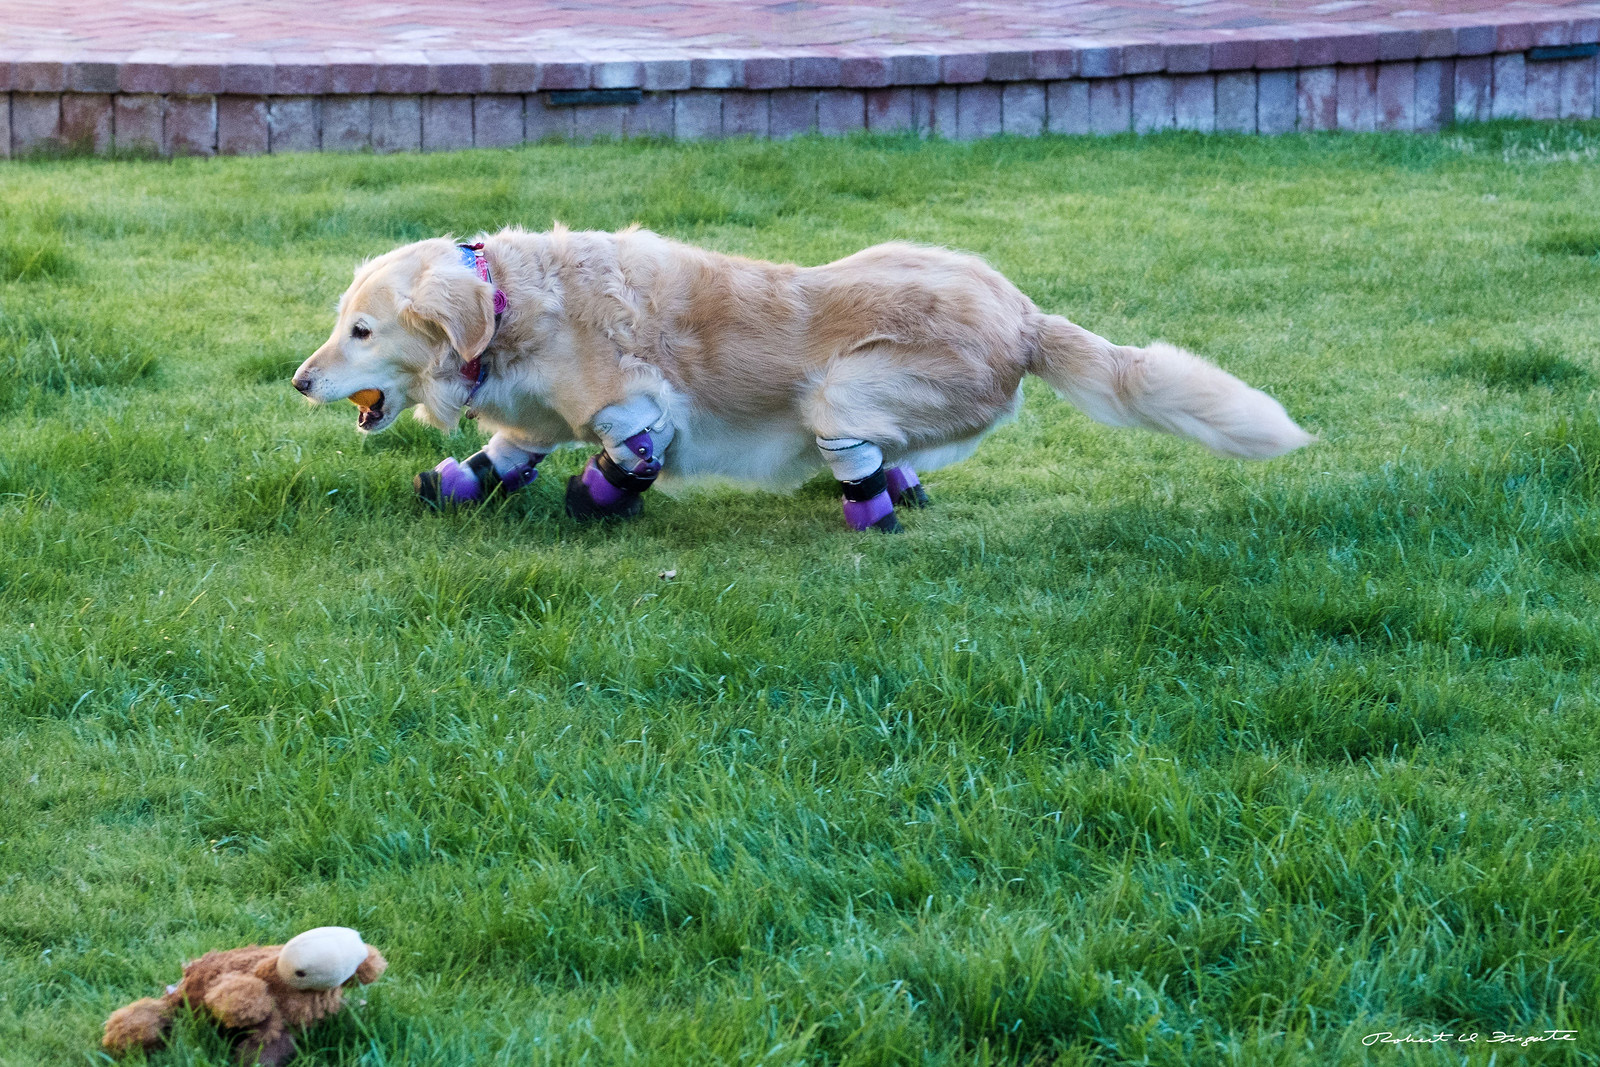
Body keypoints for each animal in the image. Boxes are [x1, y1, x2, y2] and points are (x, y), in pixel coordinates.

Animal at [291, 225, 1312, 531]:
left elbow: (627, 447)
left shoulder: (640, 403)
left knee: (855, 448)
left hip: (842, 391)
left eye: (361, 330)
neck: (509, 304)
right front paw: (458, 480)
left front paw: (601, 495)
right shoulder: (534, 413)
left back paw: (871, 507)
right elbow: (510, 448)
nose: (298, 382)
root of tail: (1026, 316)